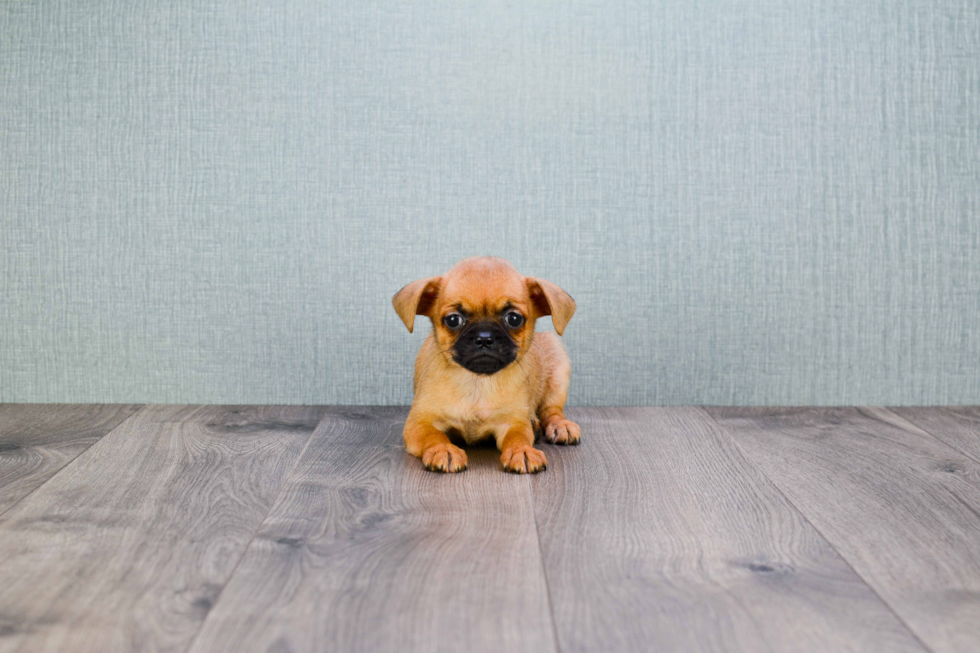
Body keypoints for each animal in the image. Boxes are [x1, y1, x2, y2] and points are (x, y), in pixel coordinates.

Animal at [390, 255, 580, 474]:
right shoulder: (420, 422)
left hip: (558, 367)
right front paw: (443, 449)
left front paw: (522, 450)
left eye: (514, 318)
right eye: (453, 320)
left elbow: (518, 437)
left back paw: (560, 426)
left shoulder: (513, 422)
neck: (477, 382)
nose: (484, 337)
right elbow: (433, 435)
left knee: (552, 410)